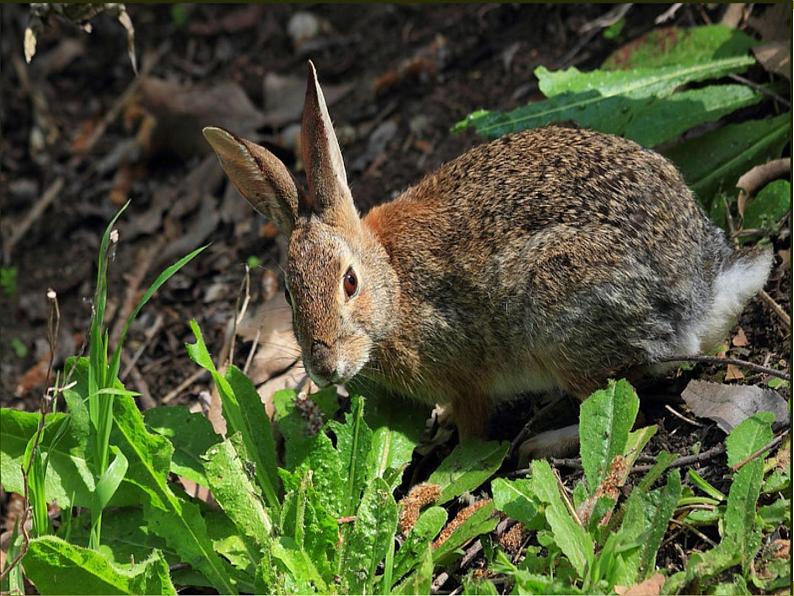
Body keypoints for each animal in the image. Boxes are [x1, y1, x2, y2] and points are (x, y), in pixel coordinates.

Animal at [203, 62, 768, 448]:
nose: (323, 368)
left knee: (616, 403)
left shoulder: (462, 374)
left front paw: (453, 451)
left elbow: (474, 423)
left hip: (561, 308)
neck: (395, 284)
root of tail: (701, 291)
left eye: (349, 282)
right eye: (290, 296)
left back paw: (542, 442)